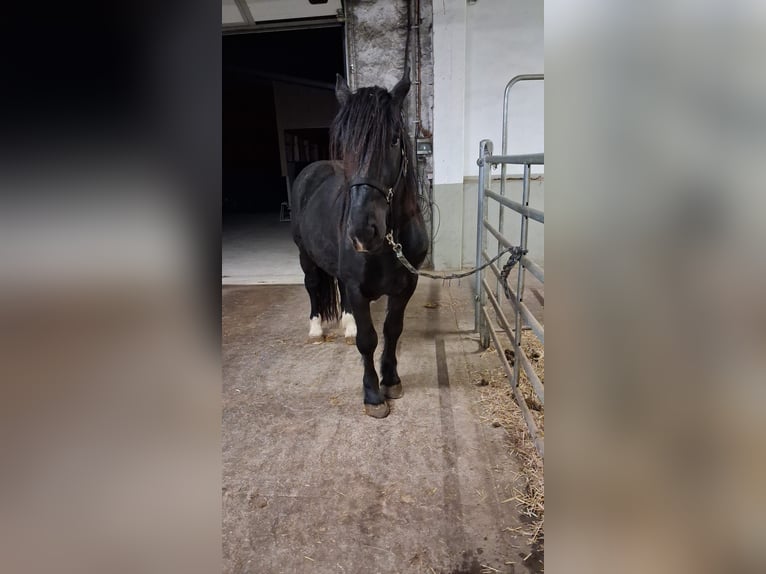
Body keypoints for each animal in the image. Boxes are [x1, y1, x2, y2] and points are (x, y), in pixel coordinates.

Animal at [290, 70, 429, 418]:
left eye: (394, 139)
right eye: (345, 145)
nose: (363, 232)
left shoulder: (406, 286)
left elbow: (393, 330)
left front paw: (391, 380)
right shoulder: (357, 286)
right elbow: (368, 340)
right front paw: (372, 395)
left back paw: (347, 323)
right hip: (305, 256)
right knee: (313, 285)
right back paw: (316, 329)